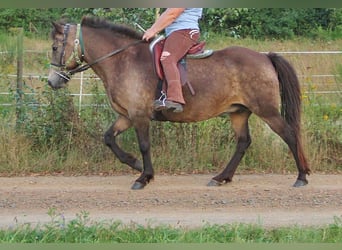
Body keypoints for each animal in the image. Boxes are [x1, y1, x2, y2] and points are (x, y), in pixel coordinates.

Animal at [46, 16, 312, 189]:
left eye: (55, 47)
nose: (51, 81)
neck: (123, 60)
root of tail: (265, 57)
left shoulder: (139, 115)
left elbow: (144, 145)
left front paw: (144, 177)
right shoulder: (126, 116)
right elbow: (109, 138)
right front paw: (134, 164)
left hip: (266, 111)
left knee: (289, 134)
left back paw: (301, 177)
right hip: (239, 112)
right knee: (243, 142)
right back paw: (221, 177)